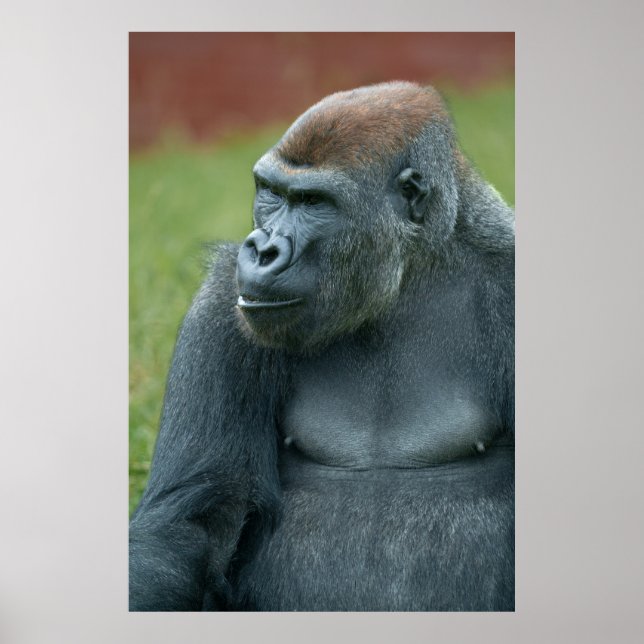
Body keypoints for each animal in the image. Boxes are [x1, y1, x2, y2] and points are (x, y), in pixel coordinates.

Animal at [129, 81, 515, 611]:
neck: (408, 275)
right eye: (271, 193)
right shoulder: (223, 299)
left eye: (314, 202)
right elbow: (188, 528)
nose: (263, 249)